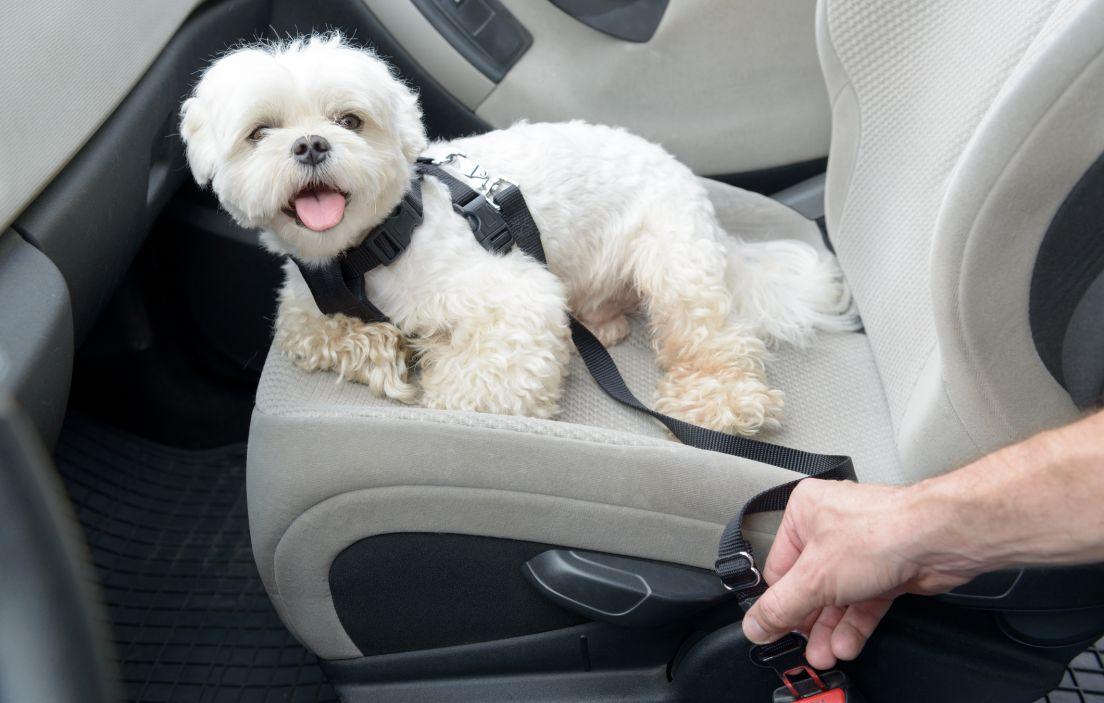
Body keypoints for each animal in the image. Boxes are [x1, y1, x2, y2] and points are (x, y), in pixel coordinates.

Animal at [181, 36, 852, 439]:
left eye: (350, 120)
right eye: (260, 132)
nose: (312, 145)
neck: (365, 251)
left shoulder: (516, 298)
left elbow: (475, 392)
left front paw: (429, 374)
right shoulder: (302, 311)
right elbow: (317, 333)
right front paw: (385, 351)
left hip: (674, 263)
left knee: (713, 338)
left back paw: (724, 401)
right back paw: (603, 321)